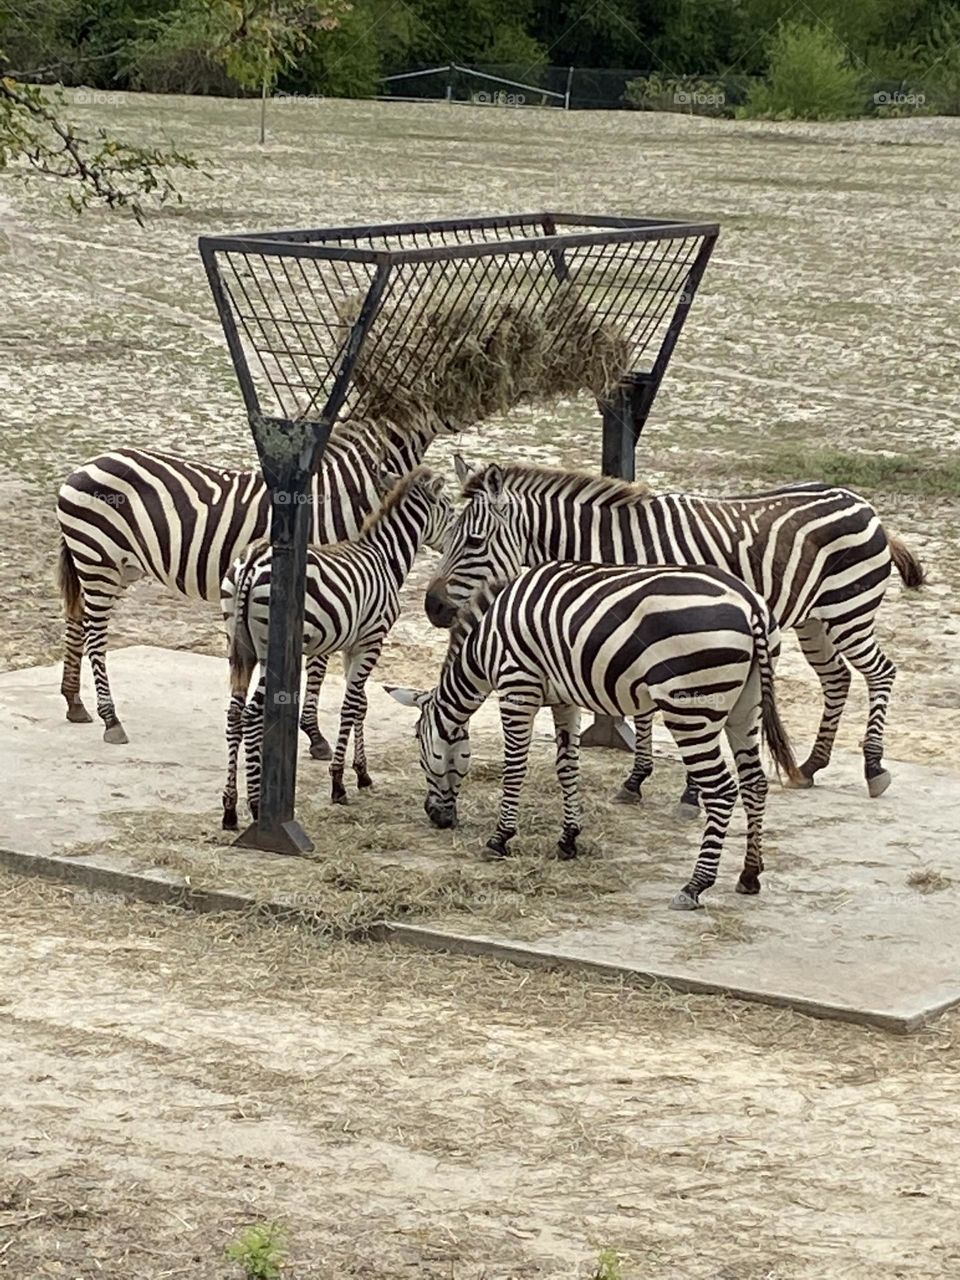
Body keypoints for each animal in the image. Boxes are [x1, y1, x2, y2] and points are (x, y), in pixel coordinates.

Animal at [56, 412, 461, 752]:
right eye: (451, 510)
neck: (343, 493)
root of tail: (83, 466)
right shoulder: (332, 589)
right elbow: (318, 665)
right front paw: (313, 735)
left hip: (110, 565)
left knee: (76, 620)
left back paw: (75, 703)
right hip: (99, 560)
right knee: (94, 635)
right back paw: (111, 718)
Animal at [221, 466, 454, 827]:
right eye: (451, 507)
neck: (385, 558)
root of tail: (252, 561)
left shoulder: (352, 646)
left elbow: (361, 704)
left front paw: (362, 774)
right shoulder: (372, 639)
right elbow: (350, 705)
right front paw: (339, 783)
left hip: (239, 646)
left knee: (234, 714)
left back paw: (230, 808)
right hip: (266, 650)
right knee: (251, 715)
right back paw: (257, 805)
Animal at [389, 561, 803, 909]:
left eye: (420, 749)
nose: (436, 817)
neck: (485, 643)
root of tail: (749, 604)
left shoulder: (517, 687)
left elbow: (515, 769)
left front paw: (499, 839)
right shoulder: (563, 699)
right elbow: (567, 767)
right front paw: (568, 839)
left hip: (690, 707)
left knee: (721, 791)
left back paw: (695, 886)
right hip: (746, 707)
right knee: (755, 784)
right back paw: (749, 876)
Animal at [423, 459, 925, 806]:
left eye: (474, 542)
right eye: (445, 538)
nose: (432, 608)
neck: (616, 546)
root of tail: (863, 504)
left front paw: (686, 792)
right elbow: (643, 712)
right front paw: (637, 779)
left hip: (849, 610)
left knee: (881, 672)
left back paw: (873, 766)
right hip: (814, 619)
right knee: (837, 678)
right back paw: (812, 763)